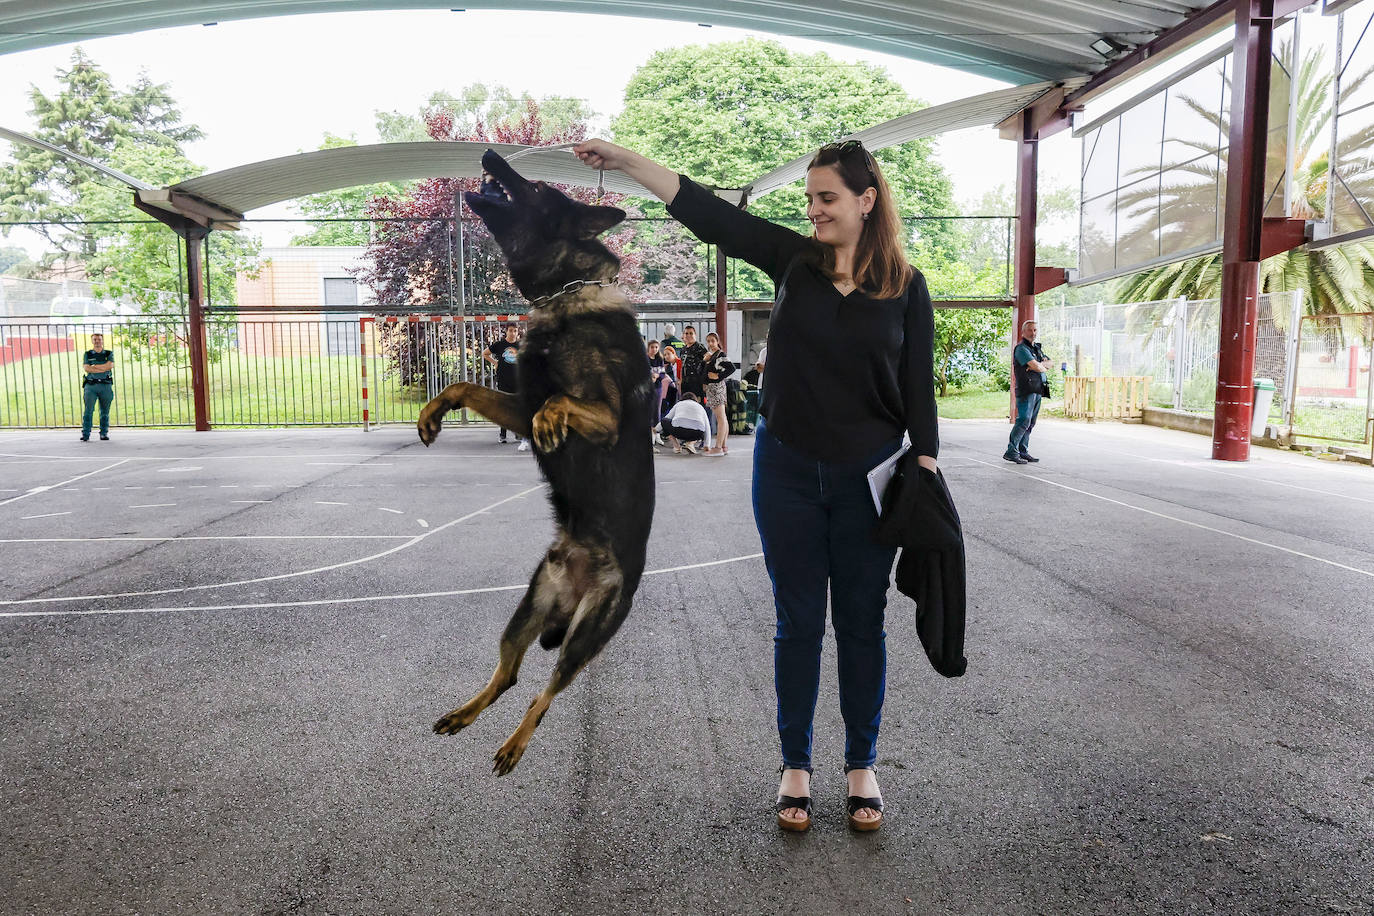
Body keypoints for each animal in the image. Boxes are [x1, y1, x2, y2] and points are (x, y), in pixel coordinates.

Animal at [414, 149, 656, 774]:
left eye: (542, 187)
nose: (489, 154)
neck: (563, 297)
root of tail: (573, 588)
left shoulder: (604, 417)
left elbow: (557, 402)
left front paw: (552, 424)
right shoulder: (516, 405)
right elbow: (464, 385)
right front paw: (431, 414)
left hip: (585, 636)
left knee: (543, 695)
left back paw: (515, 744)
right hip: (525, 610)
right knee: (509, 676)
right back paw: (465, 715)